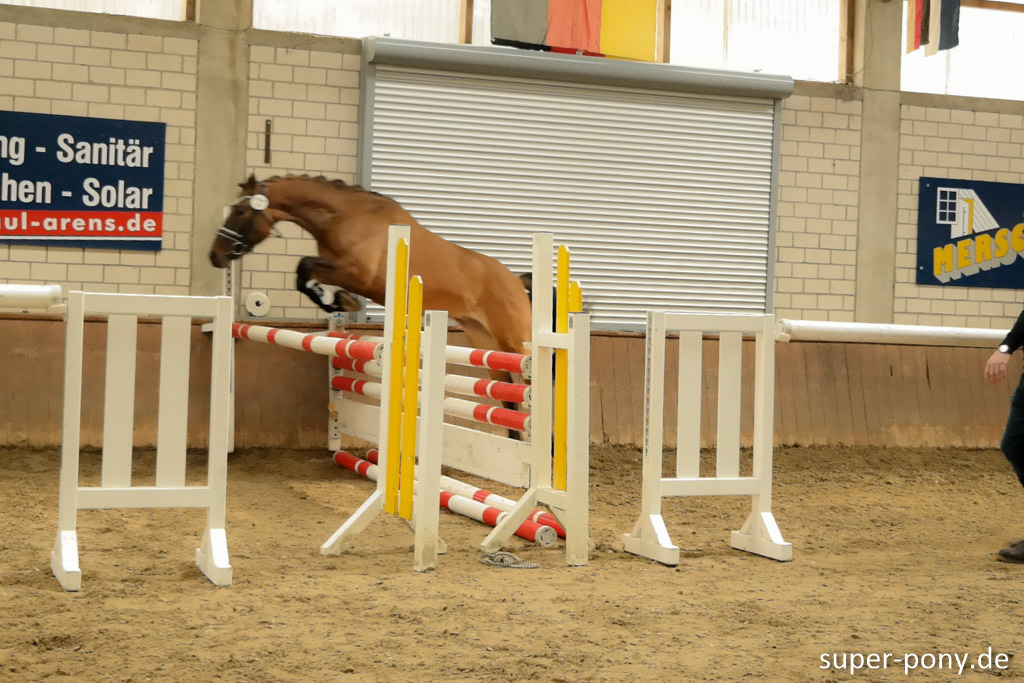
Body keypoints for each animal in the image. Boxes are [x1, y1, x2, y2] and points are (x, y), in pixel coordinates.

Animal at [208, 174, 534, 362]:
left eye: (241, 211)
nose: (215, 257)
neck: (344, 216)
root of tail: (518, 282)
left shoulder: (358, 274)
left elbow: (304, 267)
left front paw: (338, 301)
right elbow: (304, 274)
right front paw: (337, 300)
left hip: (514, 341)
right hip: (485, 342)